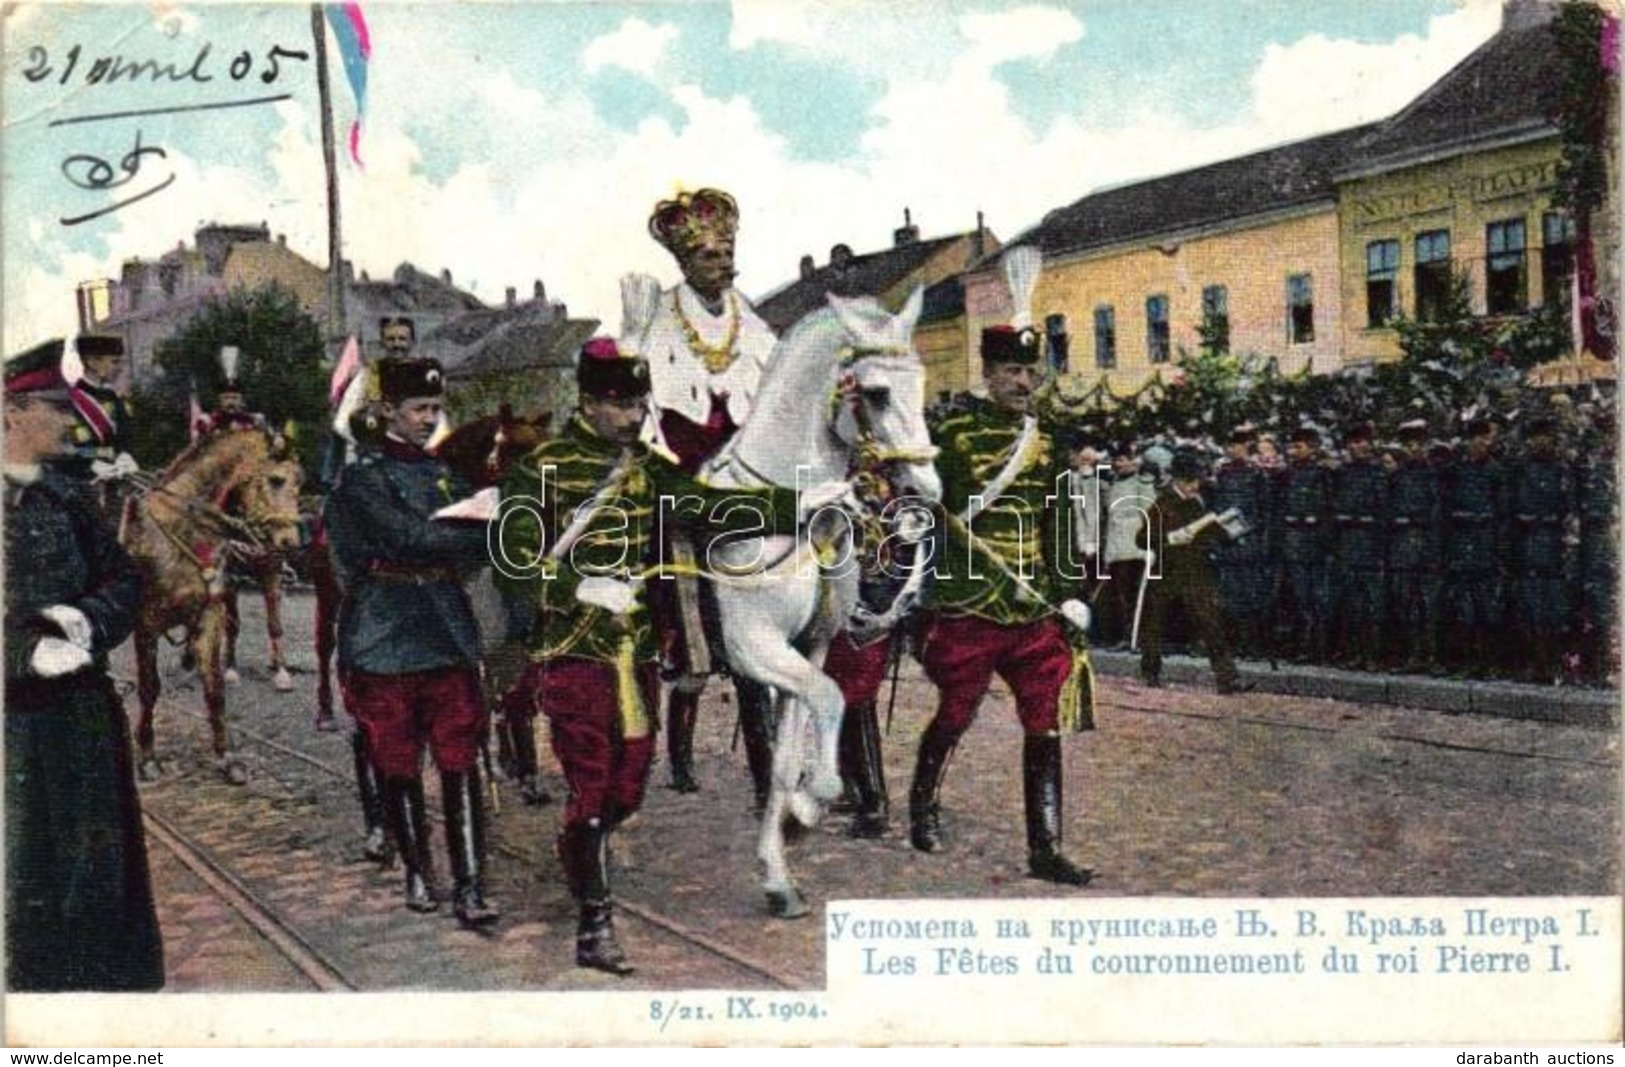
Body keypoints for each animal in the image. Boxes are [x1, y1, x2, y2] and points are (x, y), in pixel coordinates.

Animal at [121, 425, 305, 782]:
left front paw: (226, 758)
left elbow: (215, 688)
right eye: (275, 480)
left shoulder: (211, 612)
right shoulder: (145, 623)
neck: (180, 528)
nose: (289, 542)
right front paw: (147, 756)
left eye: (299, 482)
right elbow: (149, 688)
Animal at [698, 289, 942, 915]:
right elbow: (830, 700)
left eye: (922, 383)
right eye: (876, 393)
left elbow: (792, 750)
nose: (926, 493)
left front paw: (779, 873)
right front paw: (813, 804)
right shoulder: (753, 645)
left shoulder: (809, 645)